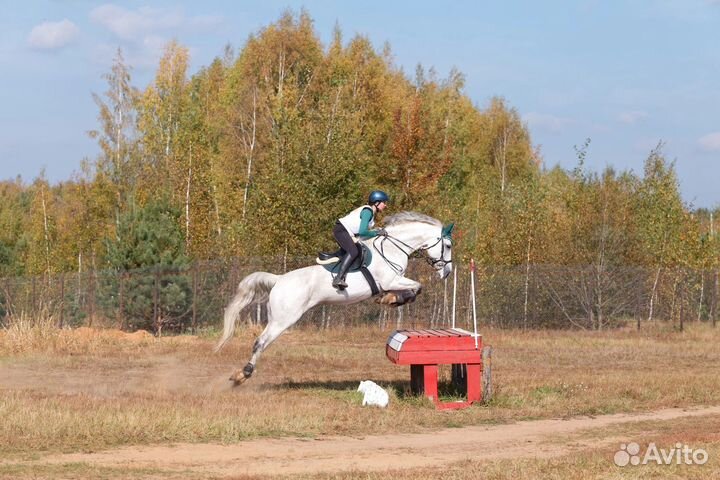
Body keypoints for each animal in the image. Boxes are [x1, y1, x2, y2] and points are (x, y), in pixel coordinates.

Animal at [215, 211, 454, 384]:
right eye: (448, 245)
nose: (447, 272)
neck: (392, 248)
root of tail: (279, 279)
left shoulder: (394, 281)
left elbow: (414, 289)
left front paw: (390, 300)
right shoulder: (391, 280)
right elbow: (417, 287)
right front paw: (391, 299)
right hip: (283, 319)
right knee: (260, 342)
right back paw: (243, 374)